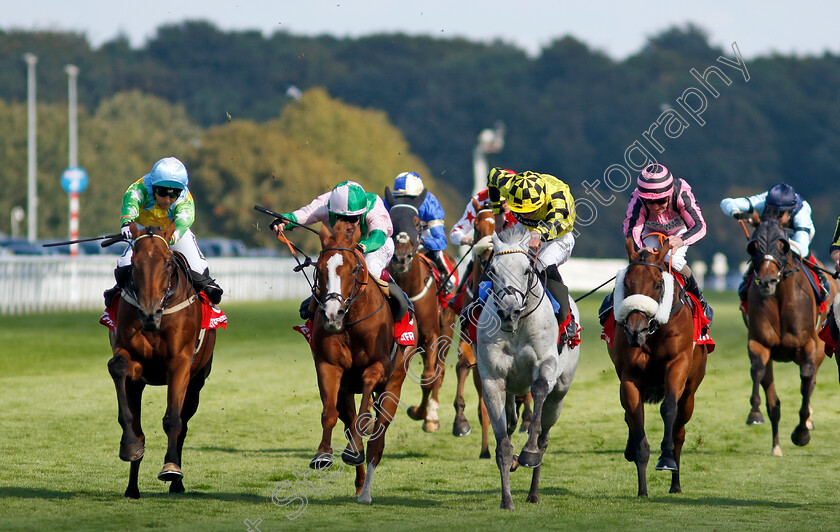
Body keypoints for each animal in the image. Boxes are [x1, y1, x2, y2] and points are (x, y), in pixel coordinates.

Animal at [106, 224, 217, 498]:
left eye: (168, 264)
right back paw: (132, 487)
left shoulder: (180, 364)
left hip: (197, 382)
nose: (149, 313)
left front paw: (171, 469)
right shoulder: (133, 363)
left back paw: (176, 481)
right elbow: (118, 370)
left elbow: (173, 420)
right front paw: (130, 447)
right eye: (134, 263)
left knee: (184, 426)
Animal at [384, 187, 456, 432]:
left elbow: (429, 377)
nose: (401, 257)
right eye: (391, 221)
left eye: (416, 223)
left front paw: (422, 414)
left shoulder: (432, 336)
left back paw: (431, 415)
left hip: (447, 329)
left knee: (439, 372)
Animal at [472, 222, 576, 510]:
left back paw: (534, 490)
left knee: (545, 436)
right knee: (510, 420)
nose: (510, 312)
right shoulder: (492, 381)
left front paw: (528, 452)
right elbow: (503, 445)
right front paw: (506, 500)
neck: (517, 329)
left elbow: (539, 389)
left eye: (527, 270)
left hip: (560, 394)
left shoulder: (545, 364)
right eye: (493, 270)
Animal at [608, 239, 704, 496]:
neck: (654, 331)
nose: (635, 330)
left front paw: (666, 459)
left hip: (691, 390)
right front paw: (642, 488)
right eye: (626, 282)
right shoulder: (629, 378)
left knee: (680, 431)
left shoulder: (678, 364)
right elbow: (636, 418)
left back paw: (676, 484)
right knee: (628, 416)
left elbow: (668, 408)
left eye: (658, 284)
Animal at [740, 214, 832, 456]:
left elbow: (807, 379)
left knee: (810, 383)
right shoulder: (759, 342)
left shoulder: (810, 345)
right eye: (753, 245)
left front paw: (802, 432)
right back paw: (776, 446)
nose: (767, 282)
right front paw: (755, 413)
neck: (780, 297)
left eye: (783, 245)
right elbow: (757, 370)